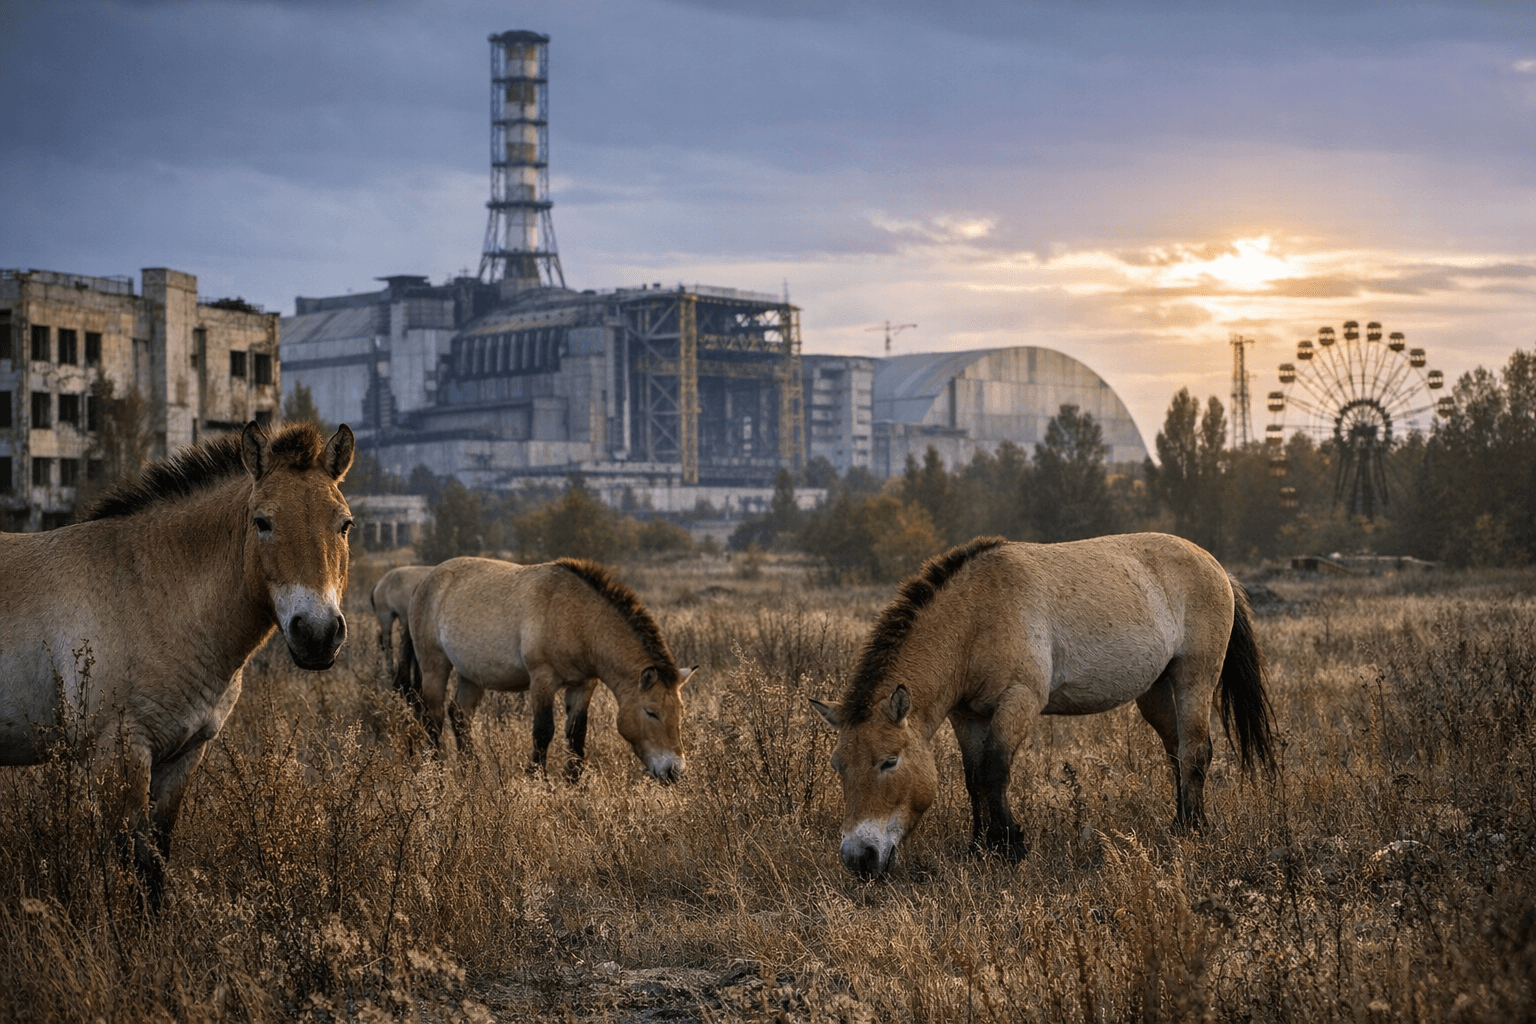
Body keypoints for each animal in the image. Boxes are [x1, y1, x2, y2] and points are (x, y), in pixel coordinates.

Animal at [0, 421, 355, 907]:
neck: (147, 591)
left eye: (344, 525)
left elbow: (156, 861)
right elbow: (133, 861)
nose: (317, 634)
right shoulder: (119, 752)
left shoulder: (182, 755)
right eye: (262, 522)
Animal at [396, 556, 693, 781]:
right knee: (433, 718)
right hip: (434, 666)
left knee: (459, 715)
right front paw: (537, 778)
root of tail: (423, 582)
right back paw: (436, 772)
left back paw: (473, 772)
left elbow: (576, 733)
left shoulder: (584, 685)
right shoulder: (543, 679)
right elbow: (543, 730)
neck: (578, 618)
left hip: (471, 675)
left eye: (679, 713)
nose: (674, 771)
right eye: (651, 712)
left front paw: (575, 781)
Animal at [811, 533, 1275, 879]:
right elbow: (973, 777)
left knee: (1196, 751)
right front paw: (979, 847)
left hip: (1194, 678)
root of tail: (1214, 565)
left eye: (889, 762)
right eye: (838, 766)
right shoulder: (967, 715)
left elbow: (995, 770)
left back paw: (1191, 831)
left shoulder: (1019, 700)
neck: (976, 617)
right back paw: (1179, 823)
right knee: (1177, 751)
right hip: (1156, 692)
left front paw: (1010, 847)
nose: (859, 858)